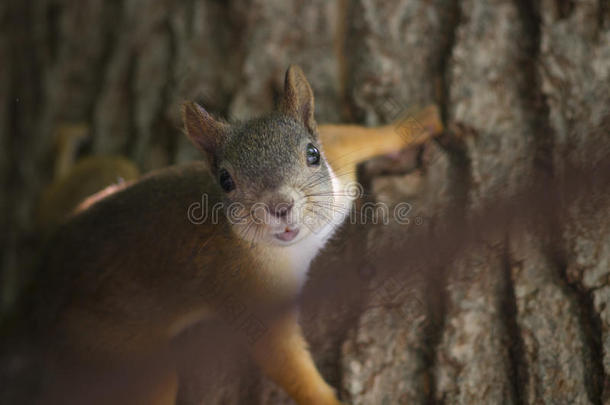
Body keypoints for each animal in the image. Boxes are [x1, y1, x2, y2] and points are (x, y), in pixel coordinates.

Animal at [26, 64, 440, 402]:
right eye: (225, 180)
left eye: (312, 154)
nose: (279, 206)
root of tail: (41, 290)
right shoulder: (244, 291)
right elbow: (281, 358)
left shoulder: (339, 161)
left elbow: (353, 136)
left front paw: (422, 121)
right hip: (122, 357)